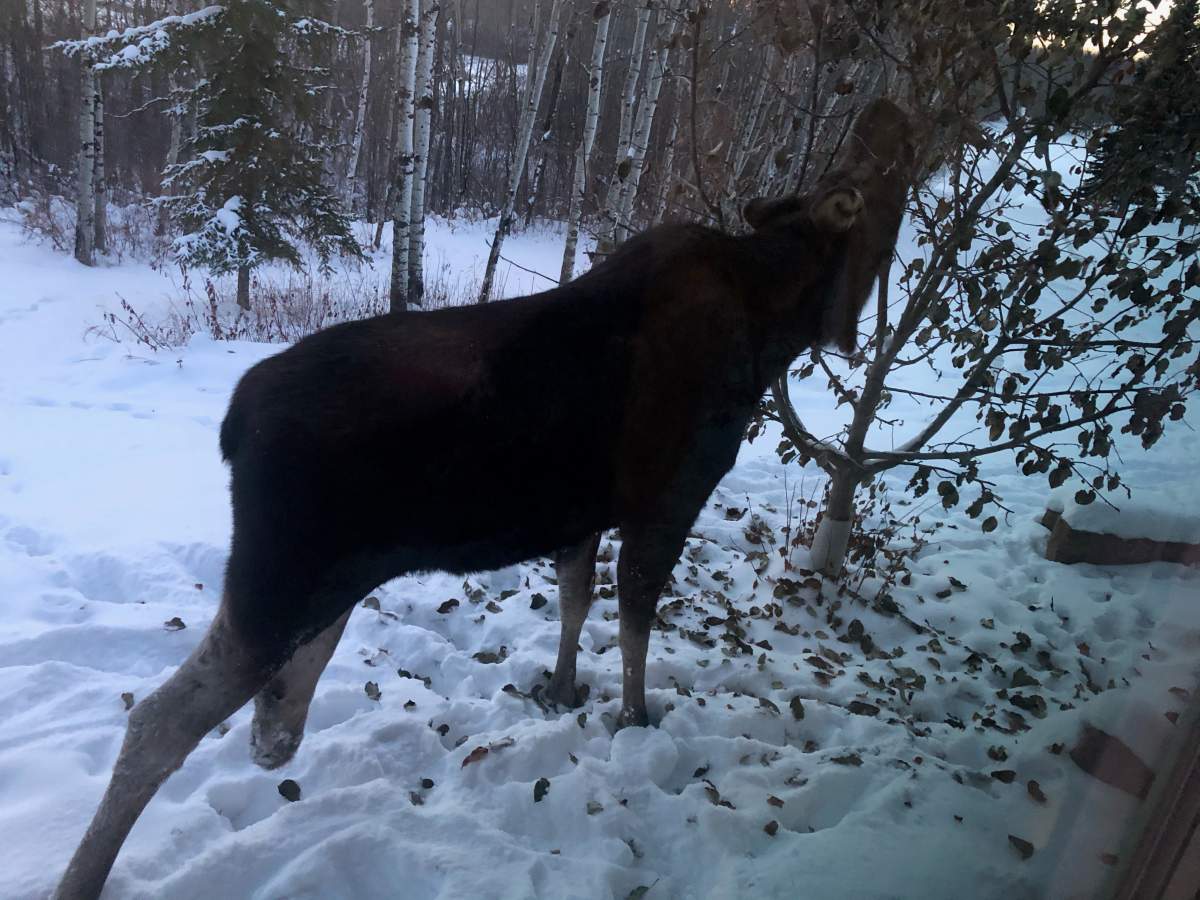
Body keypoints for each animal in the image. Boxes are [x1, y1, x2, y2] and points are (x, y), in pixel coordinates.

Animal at [54, 98, 914, 900]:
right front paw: (635, 719)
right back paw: (82, 876)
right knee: (159, 722)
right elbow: (636, 621)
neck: (778, 322)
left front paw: (562, 690)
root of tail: (232, 423)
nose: (894, 119)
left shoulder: (581, 516)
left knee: (271, 713)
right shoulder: (669, 498)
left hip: (317, 588)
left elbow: (575, 601)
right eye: (877, 184)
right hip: (283, 581)